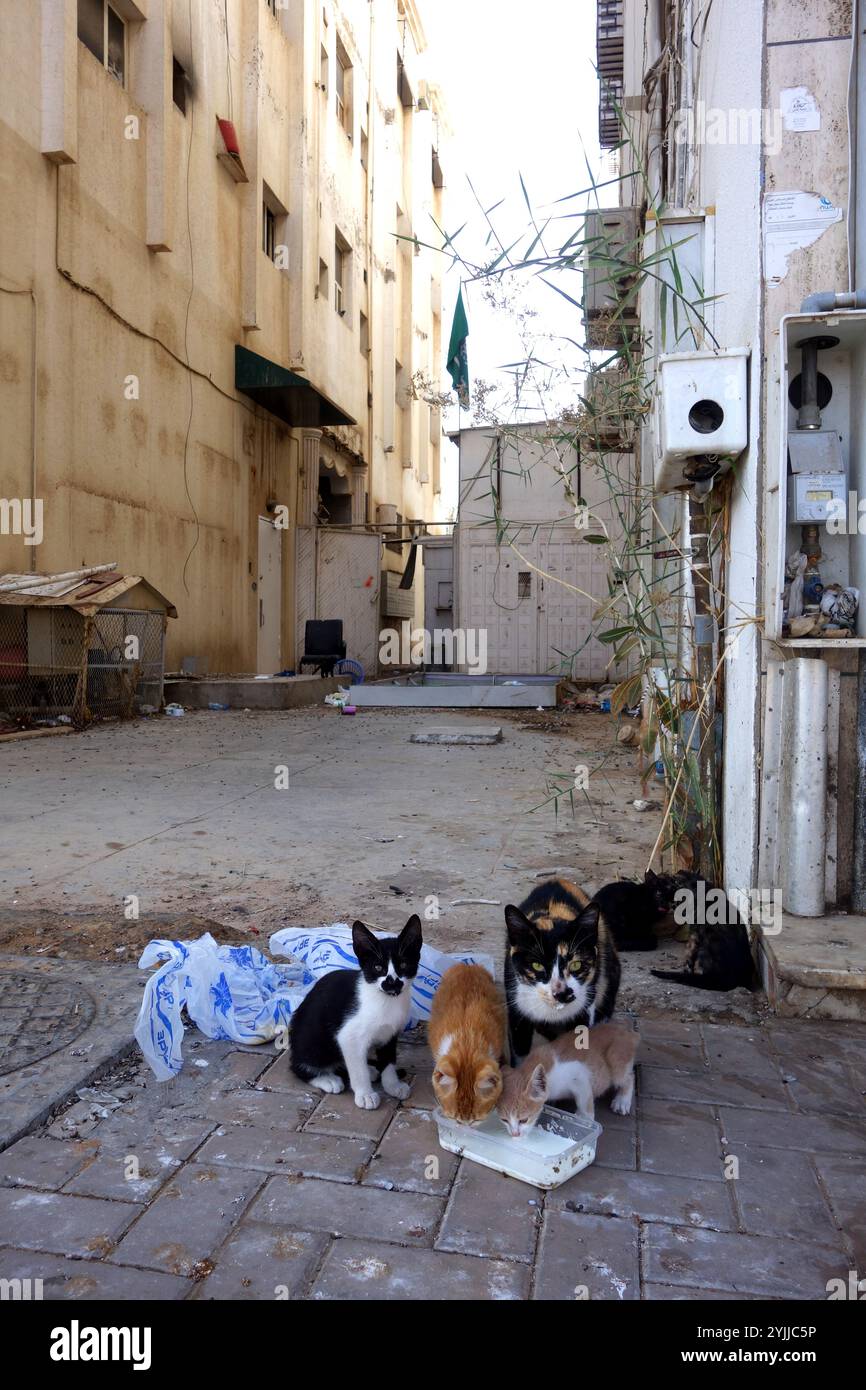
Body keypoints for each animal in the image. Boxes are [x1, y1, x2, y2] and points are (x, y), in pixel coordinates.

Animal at [291, 917, 422, 1112]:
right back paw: (327, 1078)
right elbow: (358, 1070)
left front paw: (392, 1085)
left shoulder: (390, 1033)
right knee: (300, 1066)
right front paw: (365, 1095)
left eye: (404, 965)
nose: (392, 982)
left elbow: (389, 1060)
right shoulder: (348, 1036)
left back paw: (370, 1069)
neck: (385, 1001)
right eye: (378, 967)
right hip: (313, 1040)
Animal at [494, 1017, 636, 1134]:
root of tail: (623, 1027)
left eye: (523, 1120)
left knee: (629, 1077)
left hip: (616, 1062)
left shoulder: (579, 1075)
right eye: (504, 1120)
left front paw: (584, 1119)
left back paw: (622, 1101)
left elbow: (584, 1102)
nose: (515, 1134)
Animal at [505, 878, 619, 1061]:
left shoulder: (584, 1010)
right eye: (537, 965)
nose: (562, 993)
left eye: (576, 964)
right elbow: (519, 1053)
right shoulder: (516, 1008)